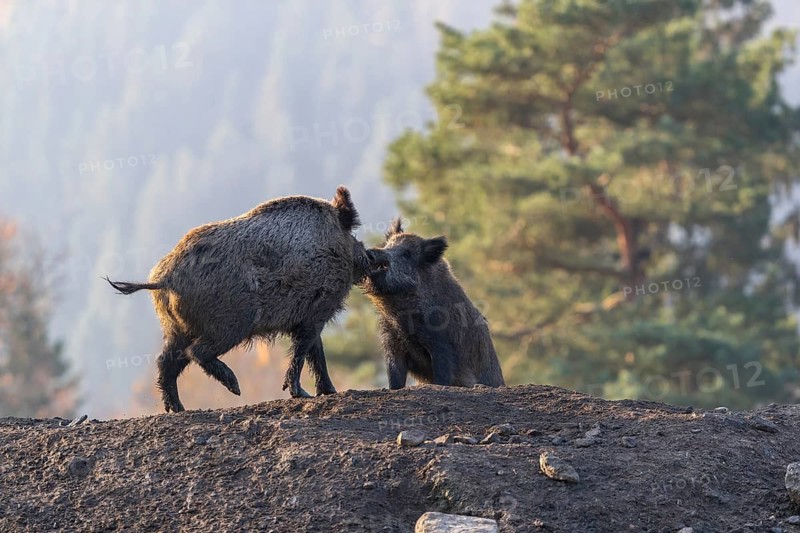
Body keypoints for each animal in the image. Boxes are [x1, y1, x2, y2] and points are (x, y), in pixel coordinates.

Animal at [105, 186, 373, 412]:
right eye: (354, 236)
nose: (372, 256)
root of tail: (165, 278)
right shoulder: (315, 312)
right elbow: (304, 352)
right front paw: (302, 394)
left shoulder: (308, 318)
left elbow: (316, 354)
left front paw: (328, 392)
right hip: (230, 324)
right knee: (196, 352)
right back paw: (235, 387)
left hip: (177, 328)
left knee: (165, 362)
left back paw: (178, 409)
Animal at [360, 218, 505, 389]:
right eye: (388, 245)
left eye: (407, 253)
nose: (371, 252)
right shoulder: (391, 341)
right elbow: (395, 376)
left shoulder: (441, 341)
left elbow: (442, 373)